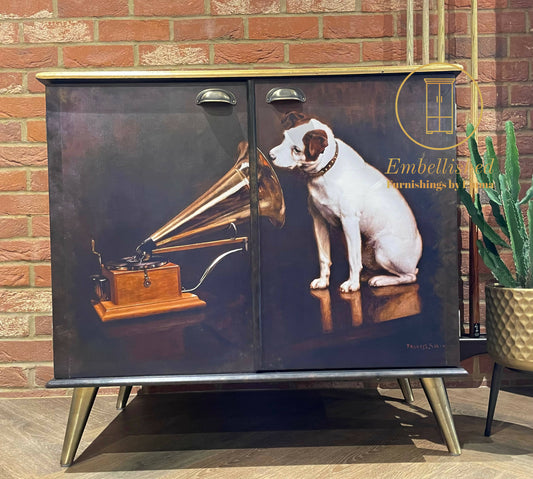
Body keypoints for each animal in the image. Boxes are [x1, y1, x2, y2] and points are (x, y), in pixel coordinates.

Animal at [268, 112, 422, 292]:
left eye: (297, 149)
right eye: (284, 137)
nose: (271, 155)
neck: (326, 170)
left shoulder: (349, 222)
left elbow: (353, 260)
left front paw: (352, 284)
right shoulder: (318, 220)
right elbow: (324, 257)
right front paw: (323, 281)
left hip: (383, 248)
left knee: (409, 277)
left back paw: (380, 280)